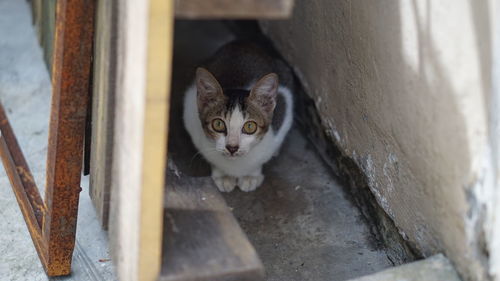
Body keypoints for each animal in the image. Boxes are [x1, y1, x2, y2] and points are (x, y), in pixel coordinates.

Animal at [184, 40, 292, 191]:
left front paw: (251, 175)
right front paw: (223, 175)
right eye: (218, 124)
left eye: (250, 126)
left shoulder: (285, 105)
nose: (232, 147)